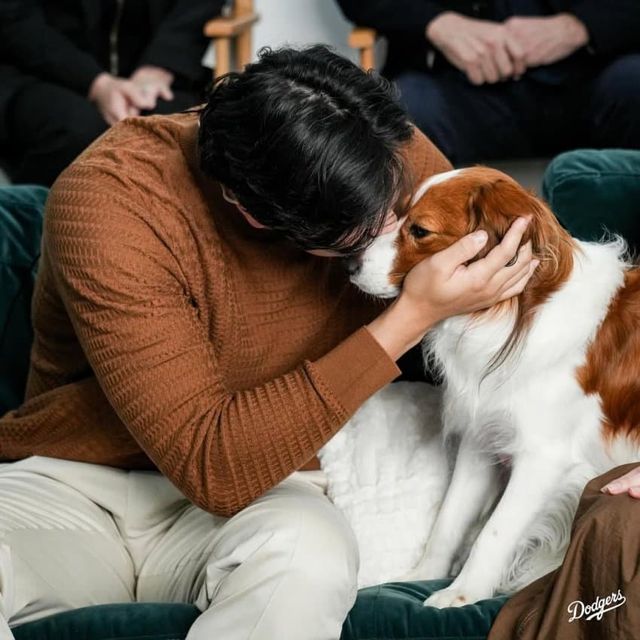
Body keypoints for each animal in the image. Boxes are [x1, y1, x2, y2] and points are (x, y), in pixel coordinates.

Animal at [349, 166, 640, 608]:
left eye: (419, 230)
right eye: (398, 215)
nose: (350, 263)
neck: (518, 311)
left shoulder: (543, 458)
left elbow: (493, 534)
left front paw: (461, 592)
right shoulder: (481, 439)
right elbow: (448, 519)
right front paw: (422, 576)